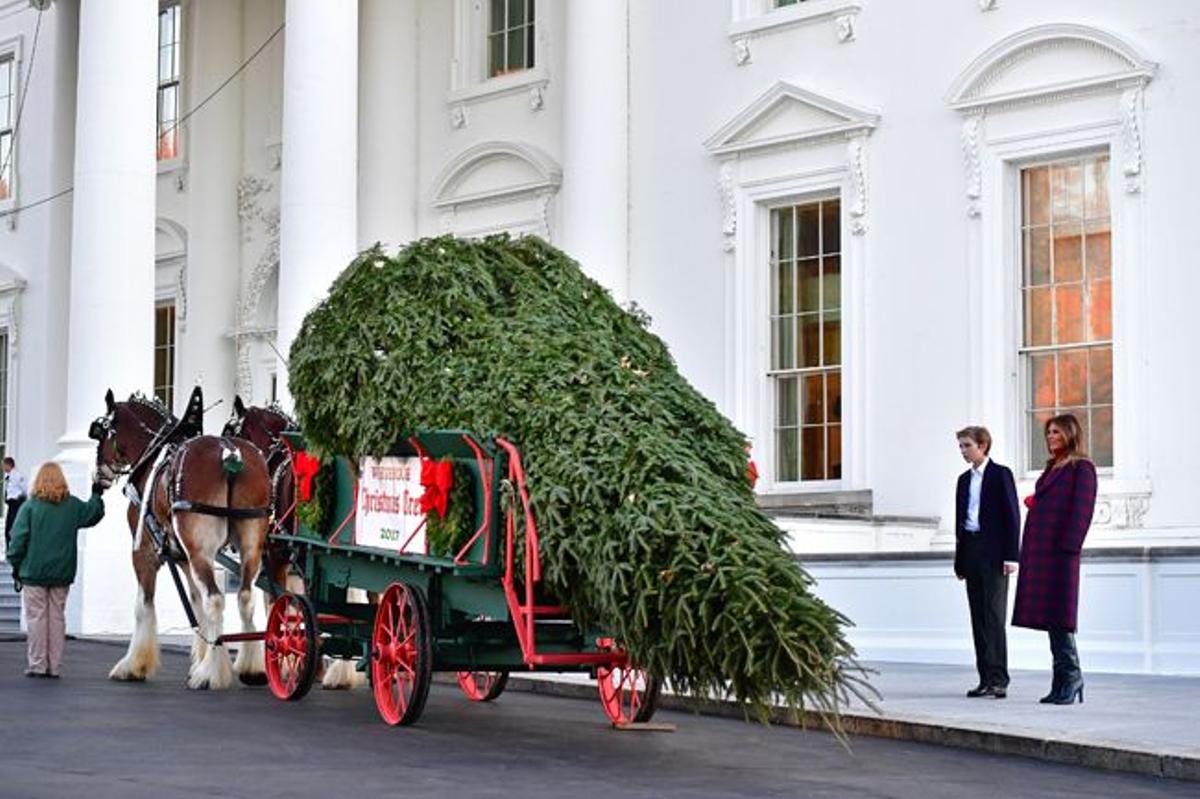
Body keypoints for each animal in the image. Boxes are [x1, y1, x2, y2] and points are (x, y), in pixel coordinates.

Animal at [91, 388, 274, 686]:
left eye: (100, 432)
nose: (98, 476)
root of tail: (230, 454)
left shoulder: (144, 551)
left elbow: (144, 604)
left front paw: (134, 665)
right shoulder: (184, 557)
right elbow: (195, 602)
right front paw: (201, 656)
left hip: (202, 548)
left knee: (216, 599)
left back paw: (210, 674)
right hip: (250, 544)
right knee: (244, 598)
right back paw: (249, 667)